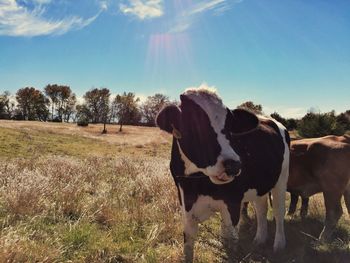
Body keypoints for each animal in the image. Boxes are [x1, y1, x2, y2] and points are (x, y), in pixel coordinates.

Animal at [157, 88, 290, 262]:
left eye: (230, 127)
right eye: (193, 125)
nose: (233, 165)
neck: (198, 184)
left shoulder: (232, 204)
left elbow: (231, 242)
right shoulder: (186, 205)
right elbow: (188, 248)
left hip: (281, 180)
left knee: (279, 211)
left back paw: (279, 246)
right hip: (260, 184)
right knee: (261, 208)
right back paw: (259, 240)